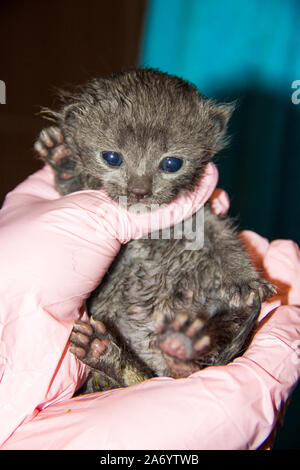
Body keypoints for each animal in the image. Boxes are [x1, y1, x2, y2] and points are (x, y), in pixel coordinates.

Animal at [34, 68, 274, 392]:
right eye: (112, 158)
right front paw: (61, 159)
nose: (139, 192)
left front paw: (244, 282)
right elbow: (71, 189)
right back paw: (106, 351)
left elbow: (226, 241)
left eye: (172, 163)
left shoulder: (201, 216)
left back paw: (180, 349)